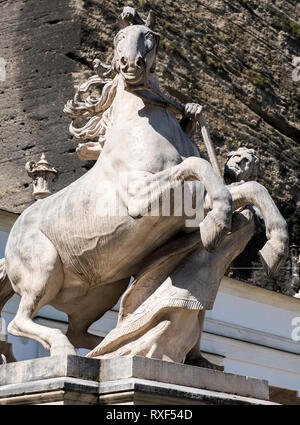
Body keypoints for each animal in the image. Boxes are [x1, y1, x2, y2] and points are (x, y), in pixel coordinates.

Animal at [0, 17, 288, 362]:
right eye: (118, 37)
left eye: (150, 36)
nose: (129, 65)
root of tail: (10, 245)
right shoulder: (141, 199)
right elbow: (198, 165)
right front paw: (217, 226)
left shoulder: (191, 208)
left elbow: (254, 188)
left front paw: (275, 248)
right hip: (43, 269)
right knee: (21, 321)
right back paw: (65, 350)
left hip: (101, 290)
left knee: (80, 331)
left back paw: (109, 350)